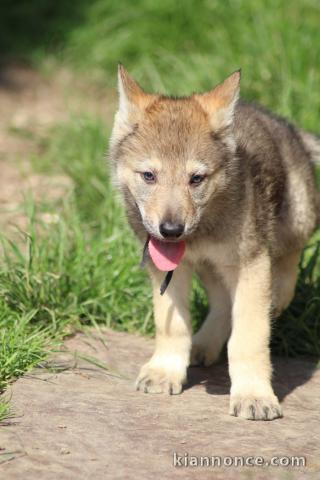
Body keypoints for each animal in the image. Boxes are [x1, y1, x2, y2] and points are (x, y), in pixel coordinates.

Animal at [109, 64, 318, 420]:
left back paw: (275, 296)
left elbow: (248, 338)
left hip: (297, 220)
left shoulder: (251, 264)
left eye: (196, 179)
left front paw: (254, 396)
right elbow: (172, 325)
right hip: (211, 267)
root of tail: (287, 126)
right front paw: (165, 372)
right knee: (222, 303)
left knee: (285, 266)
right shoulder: (169, 270)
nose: (171, 230)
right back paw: (203, 344)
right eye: (149, 176)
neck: (200, 235)